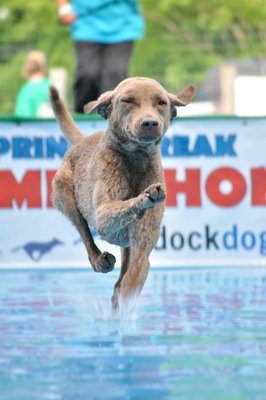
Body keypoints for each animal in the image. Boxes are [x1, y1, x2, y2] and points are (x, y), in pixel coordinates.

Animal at [50, 78, 195, 310]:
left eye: (161, 102)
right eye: (127, 100)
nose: (150, 123)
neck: (135, 159)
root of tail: (82, 140)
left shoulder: (142, 247)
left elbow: (131, 280)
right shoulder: (104, 216)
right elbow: (119, 207)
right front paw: (144, 199)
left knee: (120, 280)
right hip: (64, 192)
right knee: (84, 231)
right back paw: (99, 260)